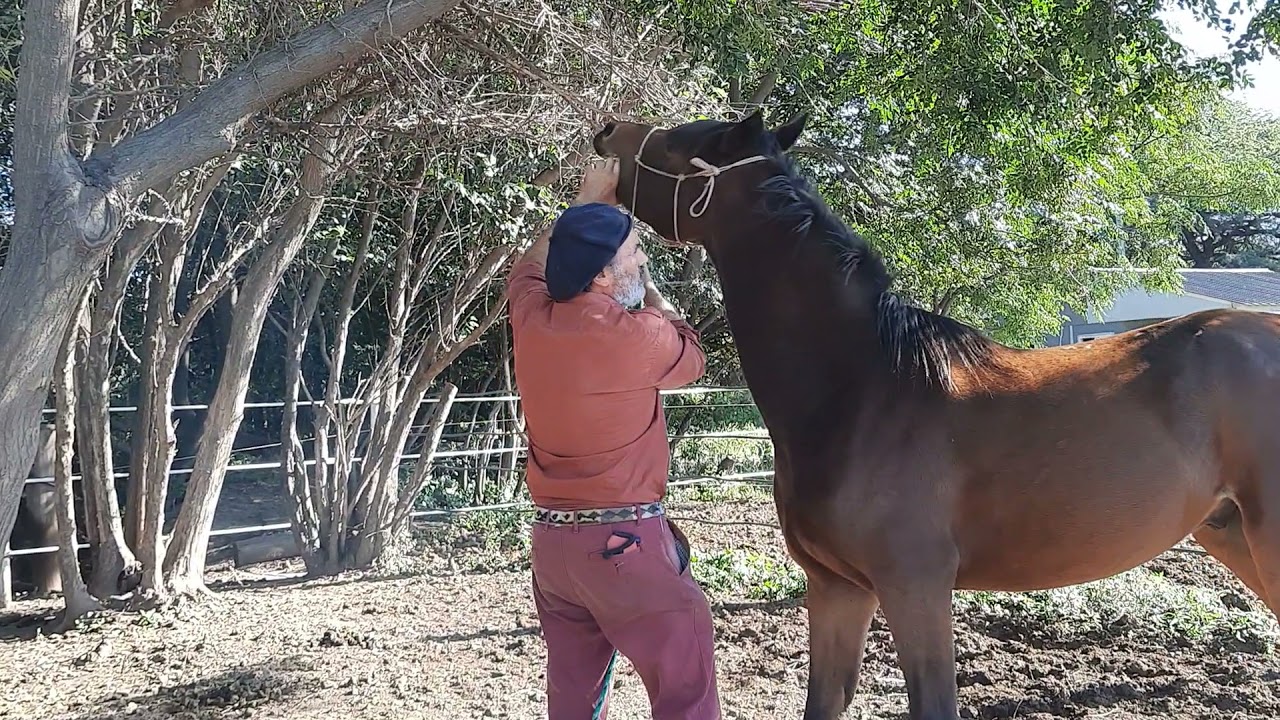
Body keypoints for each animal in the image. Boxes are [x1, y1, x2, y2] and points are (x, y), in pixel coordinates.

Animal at [591, 110, 1280, 720]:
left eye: (681, 144)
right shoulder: (838, 587)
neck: (865, 389)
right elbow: (824, 702)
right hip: (1233, 536)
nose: (605, 133)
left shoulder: (915, 588)